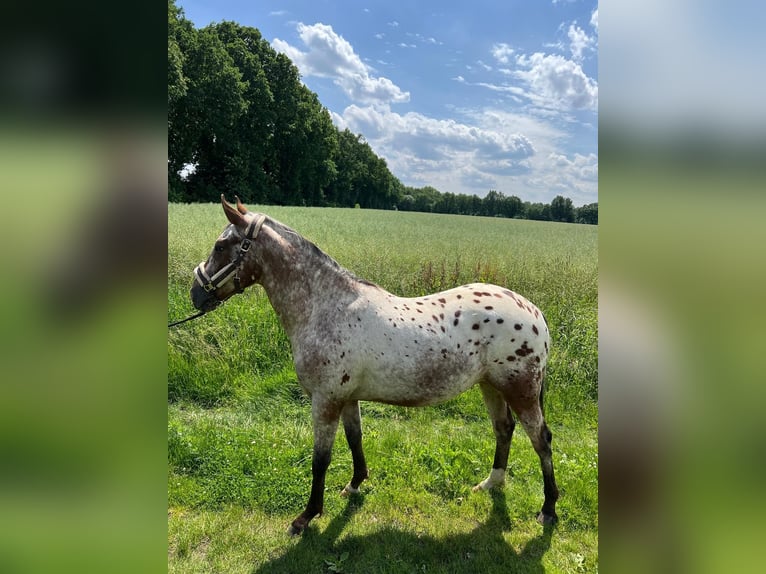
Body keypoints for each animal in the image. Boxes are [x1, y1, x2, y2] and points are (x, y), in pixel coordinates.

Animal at [190, 196, 564, 536]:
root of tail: (534, 311)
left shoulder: (325, 400)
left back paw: (548, 509)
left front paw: (306, 517)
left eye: (221, 245)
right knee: (504, 429)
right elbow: (355, 439)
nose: (196, 293)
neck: (326, 307)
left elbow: (320, 460)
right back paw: (490, 484)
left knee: (541, 440)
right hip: (490, 386)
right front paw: (355, 484)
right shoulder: (346, 398)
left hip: (521, 390)